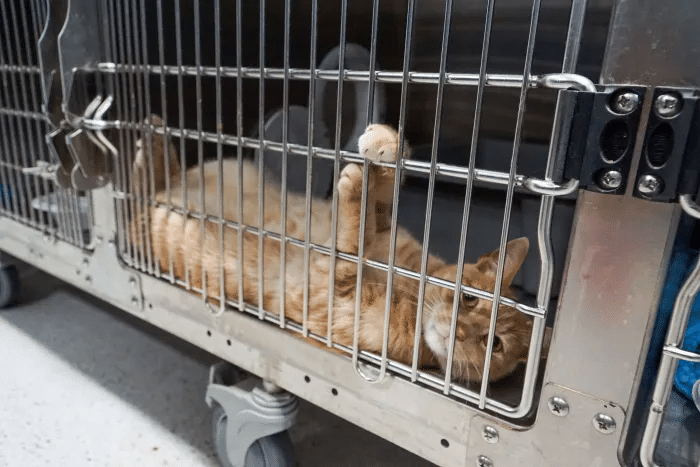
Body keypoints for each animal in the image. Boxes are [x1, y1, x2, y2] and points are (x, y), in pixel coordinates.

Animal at [130, 119, 532, 384]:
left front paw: (356, 189)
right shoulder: (385, 231)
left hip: (152, 222)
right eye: (469, 299)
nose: (461, 332)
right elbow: (382, 197)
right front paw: (386, 146)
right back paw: (153, 140)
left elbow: (349, 251)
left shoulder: (326, 296)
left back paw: (148, 151)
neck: (410, 292)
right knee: (156, 180)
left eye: (494, 344)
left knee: (139, 191)